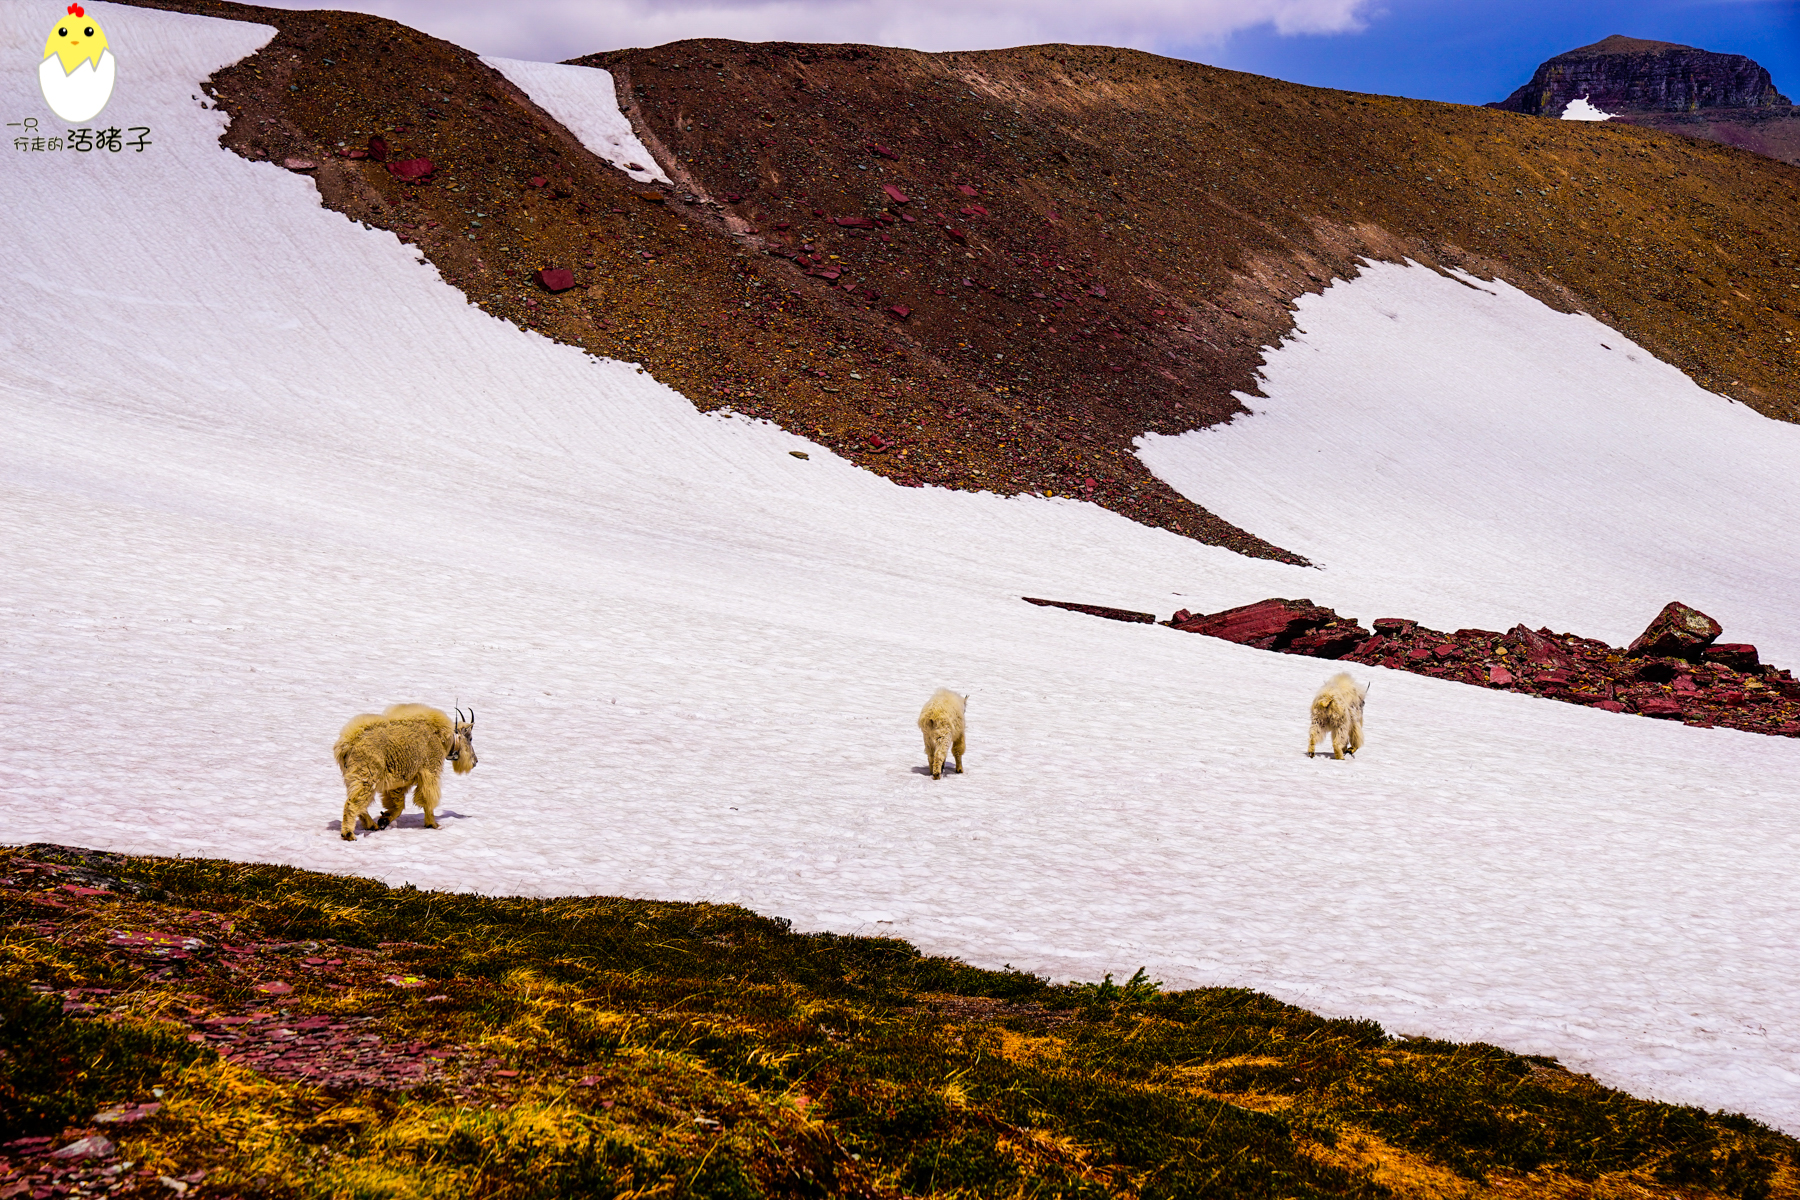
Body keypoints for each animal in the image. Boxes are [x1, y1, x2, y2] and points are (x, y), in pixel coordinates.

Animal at [331, 705, 471, 845]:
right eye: (470, 738)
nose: (474, 761)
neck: (441, 737)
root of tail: (346, 745)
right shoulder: (430, 771)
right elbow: (427, 798)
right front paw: (433, 824)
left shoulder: (399, 782)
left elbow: (398, 804)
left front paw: (384, 819)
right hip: (367, 776)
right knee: (353, 803)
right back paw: (349, 834)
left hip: (354, 778)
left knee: (360, 803)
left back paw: (372, 825)